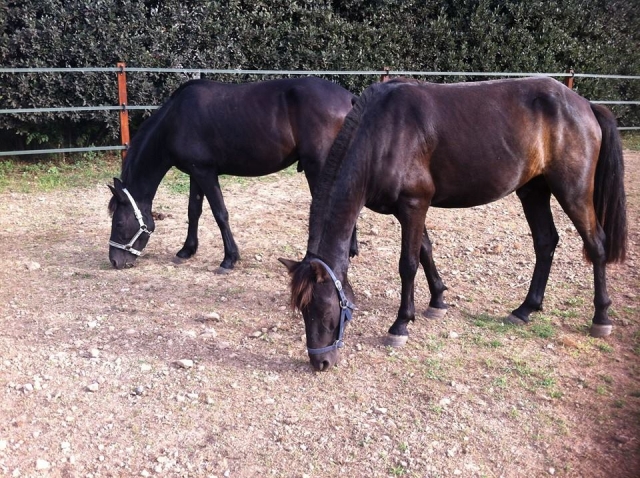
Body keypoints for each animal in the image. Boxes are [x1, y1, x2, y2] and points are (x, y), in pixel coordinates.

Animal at [108, 77, 357, 271]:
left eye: (118, 223)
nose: (115, 261)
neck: (174, 120)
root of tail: (349, 98)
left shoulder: (205, 173)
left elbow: (220, 213)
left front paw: (229, 259)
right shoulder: (195, 173)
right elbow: (193, 211)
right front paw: (187, 250)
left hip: (318, 166)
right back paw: (350, 251)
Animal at [280, 76, 627, 372]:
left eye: (323, 309)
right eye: (301, 310)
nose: (320, 362)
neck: (385, 133)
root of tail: (585, 105)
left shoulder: (414, 204)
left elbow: (408, 264)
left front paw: (401, 325)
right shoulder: (408, 209)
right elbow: (426, 251)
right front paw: (437, 301)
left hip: (573, 191)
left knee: (596, 244)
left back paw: (601, 318)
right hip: (534, 190)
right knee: (545, 242)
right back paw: (525, 309)